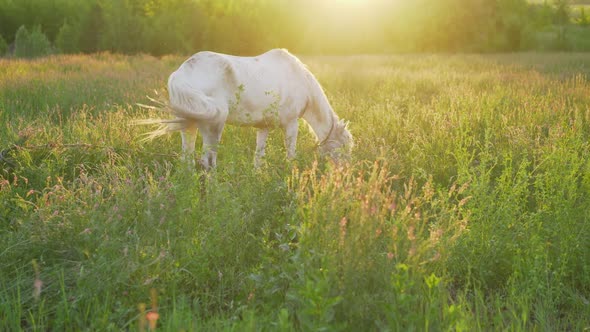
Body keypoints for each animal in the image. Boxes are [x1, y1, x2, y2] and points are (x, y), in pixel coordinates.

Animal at [140, 48, 352, 169]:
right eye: (344, 146)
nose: (345, 173)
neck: (300, 80)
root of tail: (182, 72)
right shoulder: (291, 124)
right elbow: (290, 154)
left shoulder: (264, 127)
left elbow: (259, 156)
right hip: (212, 128)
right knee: (208, 162)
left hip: (188, 125)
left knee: (187, 159)